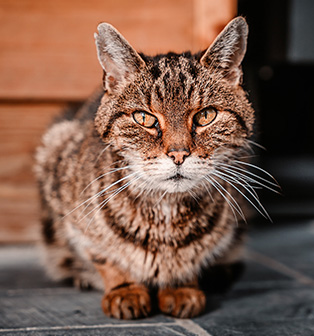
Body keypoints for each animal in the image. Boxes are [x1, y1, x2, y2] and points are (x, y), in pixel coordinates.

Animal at [34, 16, 270, 320]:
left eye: (206, 115)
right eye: (144, 118)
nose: (179, 154)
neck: (167, 212)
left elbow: (194, 258)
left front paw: (181, 286)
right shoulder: (68, 204)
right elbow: (103, 256)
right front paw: (124, 289)